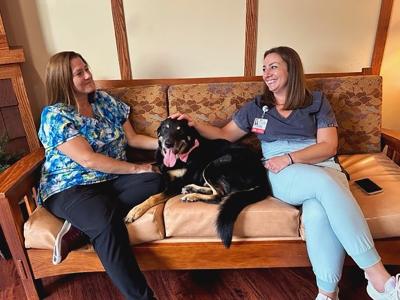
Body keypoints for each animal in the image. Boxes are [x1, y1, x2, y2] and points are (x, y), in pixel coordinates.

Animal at [124, 118, 272, 247]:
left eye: (179, 130)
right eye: (165, 128)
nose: (168, 143)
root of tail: (262, 175)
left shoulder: (176, 184)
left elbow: (154, 197)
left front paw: (135, 211)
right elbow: (154, 168)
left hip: (214, 165)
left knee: (219, 196)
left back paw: (192, 195)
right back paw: (191, 190)